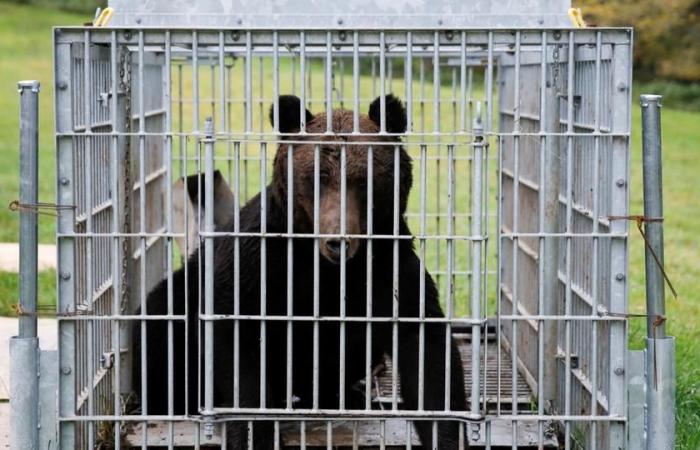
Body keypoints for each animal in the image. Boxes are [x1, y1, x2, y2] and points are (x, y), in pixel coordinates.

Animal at [134, 94, 468, 446]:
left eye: (364, 181)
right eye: (318, 178)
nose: (338, 241)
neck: (324, 266)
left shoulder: (386, 264)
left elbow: (425, 348)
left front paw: (447, 435)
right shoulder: (261, 260)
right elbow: (237, 342)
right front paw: (253, 434)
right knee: (161, 321)